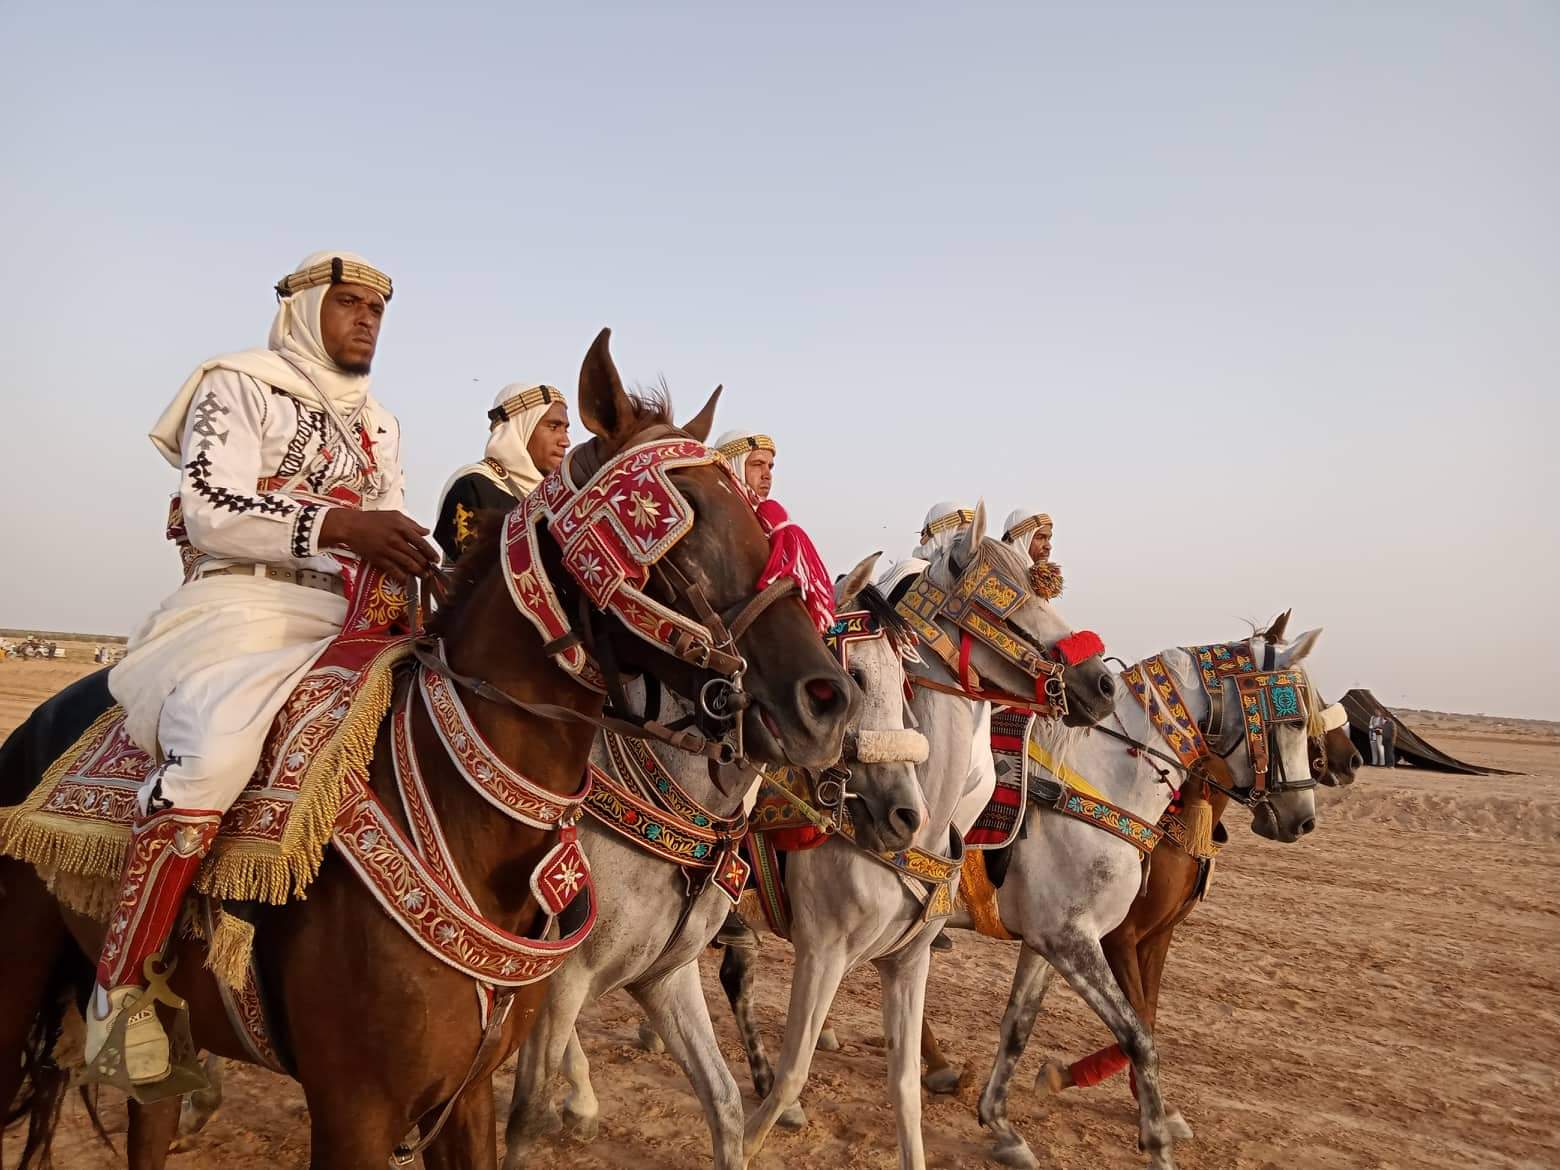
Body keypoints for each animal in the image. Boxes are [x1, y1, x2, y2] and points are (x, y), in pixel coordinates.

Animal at [0, 330, 854, 1170]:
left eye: (754, 517)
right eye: (674, 514)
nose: (825, 698)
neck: (472, 824)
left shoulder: (465, 1097)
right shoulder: (354, 1115)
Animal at [505, 555, 929, 1170]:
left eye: (905, 684)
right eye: (859, 677)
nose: (907, 815)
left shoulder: (663, 973)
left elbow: (725, 1104)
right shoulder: (564, 973)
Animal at [733, 508, 1116, 1170]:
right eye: (1005, 599)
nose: (1101, 682)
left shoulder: (908, 960)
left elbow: (905, 1086)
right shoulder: (821, 951)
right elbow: (794, 1072)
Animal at [960, 633, 1316, 1170]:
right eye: (1293, 720)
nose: (1303, 818)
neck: (1088, 782)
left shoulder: (1047, 941)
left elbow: (1018, 1027)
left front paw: (1001, 1126)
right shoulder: (1076, 942)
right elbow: (1139, 1038)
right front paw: (1157, 1144)